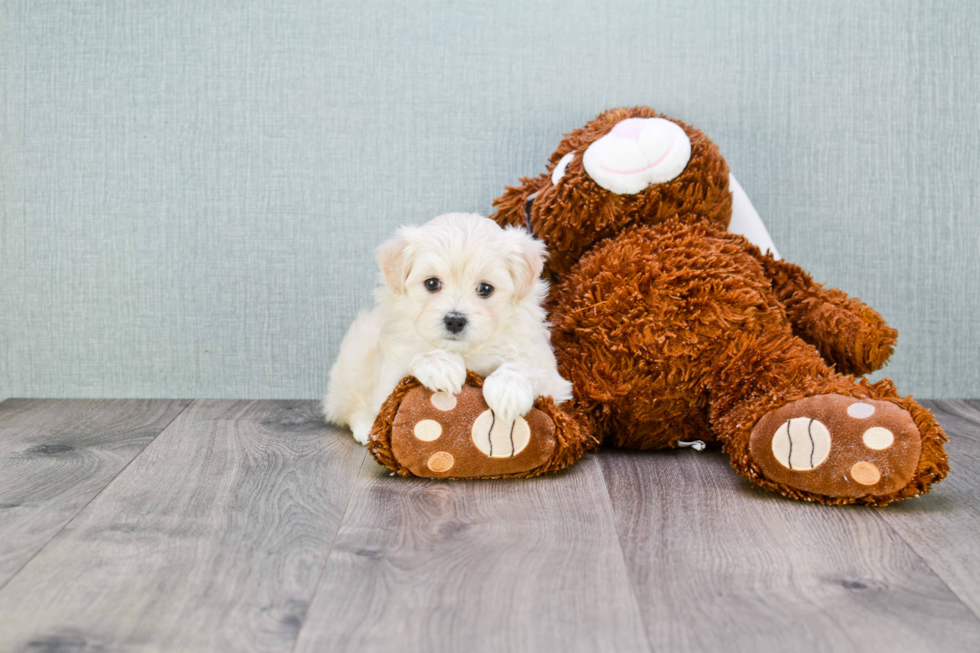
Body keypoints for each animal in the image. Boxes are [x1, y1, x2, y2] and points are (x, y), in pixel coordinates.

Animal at [322, 213, 572, 444]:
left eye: (485, 289)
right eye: (432, 283)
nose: (455, 320)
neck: (465, 351)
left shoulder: (553, 380)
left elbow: (527, 368)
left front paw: (508, 391)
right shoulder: (390, 373)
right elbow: (412, 363)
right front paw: (441, 366)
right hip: (353, 362)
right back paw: (367, 429)